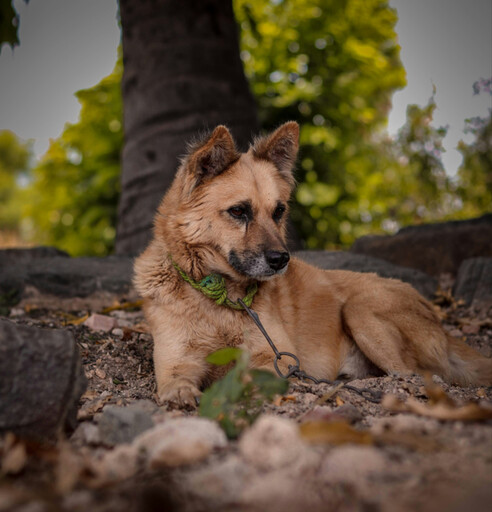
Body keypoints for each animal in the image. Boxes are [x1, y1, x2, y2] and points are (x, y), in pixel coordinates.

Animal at [134, 122, 492, 406]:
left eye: (278, 211)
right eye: (238, 211)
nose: (281, 260)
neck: (221, 295)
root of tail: (438, 321)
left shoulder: (273, 357)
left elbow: (254, 375)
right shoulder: (176, 360)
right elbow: (177, 380)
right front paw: (183, 393)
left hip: (361, 310)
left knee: (417, 375)